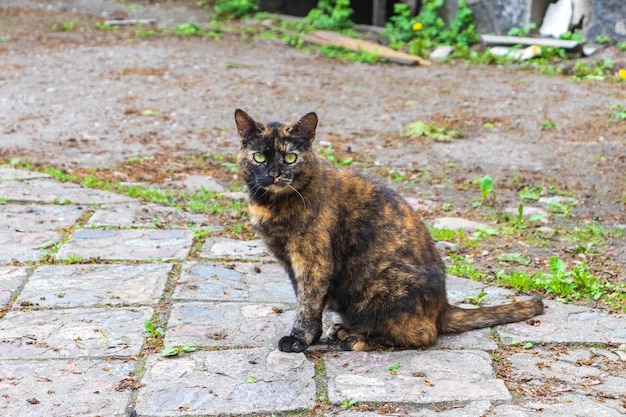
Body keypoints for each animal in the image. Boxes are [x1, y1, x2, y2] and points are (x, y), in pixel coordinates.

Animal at [234, 109, 540, 352]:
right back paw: (345, 330)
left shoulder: (313, 261)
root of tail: (443, 306)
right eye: (259, 157)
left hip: (382, 282)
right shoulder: (289, 263)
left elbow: (307, 303)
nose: (274, 174)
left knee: (423, 335)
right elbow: (305, 299)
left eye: (290, 158)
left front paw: (300, 339)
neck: (272, 204)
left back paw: (357, 339)